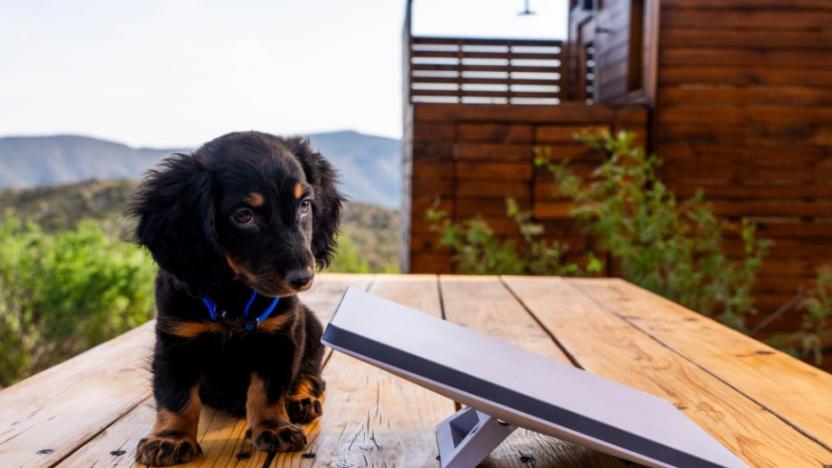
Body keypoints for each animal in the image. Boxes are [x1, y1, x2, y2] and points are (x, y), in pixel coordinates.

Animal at [130, 131, 338, 464]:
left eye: (305, 204)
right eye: (244, 215)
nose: (303, 277)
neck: (233, 300)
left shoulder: (278, 337)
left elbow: (267, 388)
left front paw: (273, 426)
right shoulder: (176, 340)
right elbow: (176, 394)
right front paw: (170, 438)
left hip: (312, 327)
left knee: (313, 376)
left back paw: (301, 400)